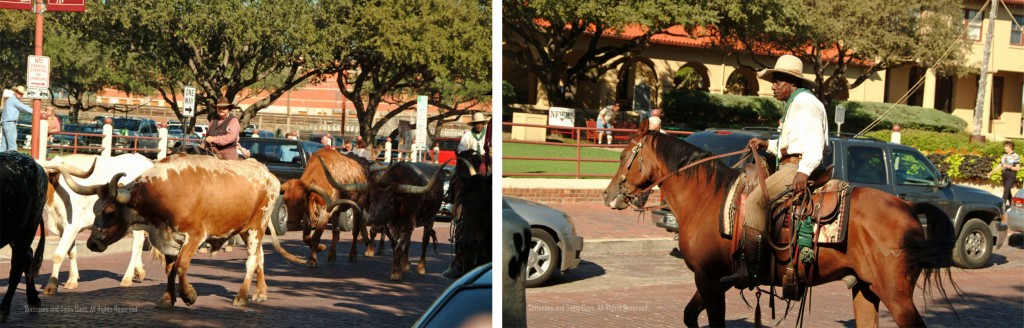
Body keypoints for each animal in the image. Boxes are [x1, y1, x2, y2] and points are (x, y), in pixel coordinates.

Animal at [598, 124, 958, 325]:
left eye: (624, 156)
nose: (608, 194)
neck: (706, 199)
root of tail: (908, 207)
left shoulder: (709, 279)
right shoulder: (715, 281)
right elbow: (689, 315)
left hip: (895, 295)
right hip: (866, 289)